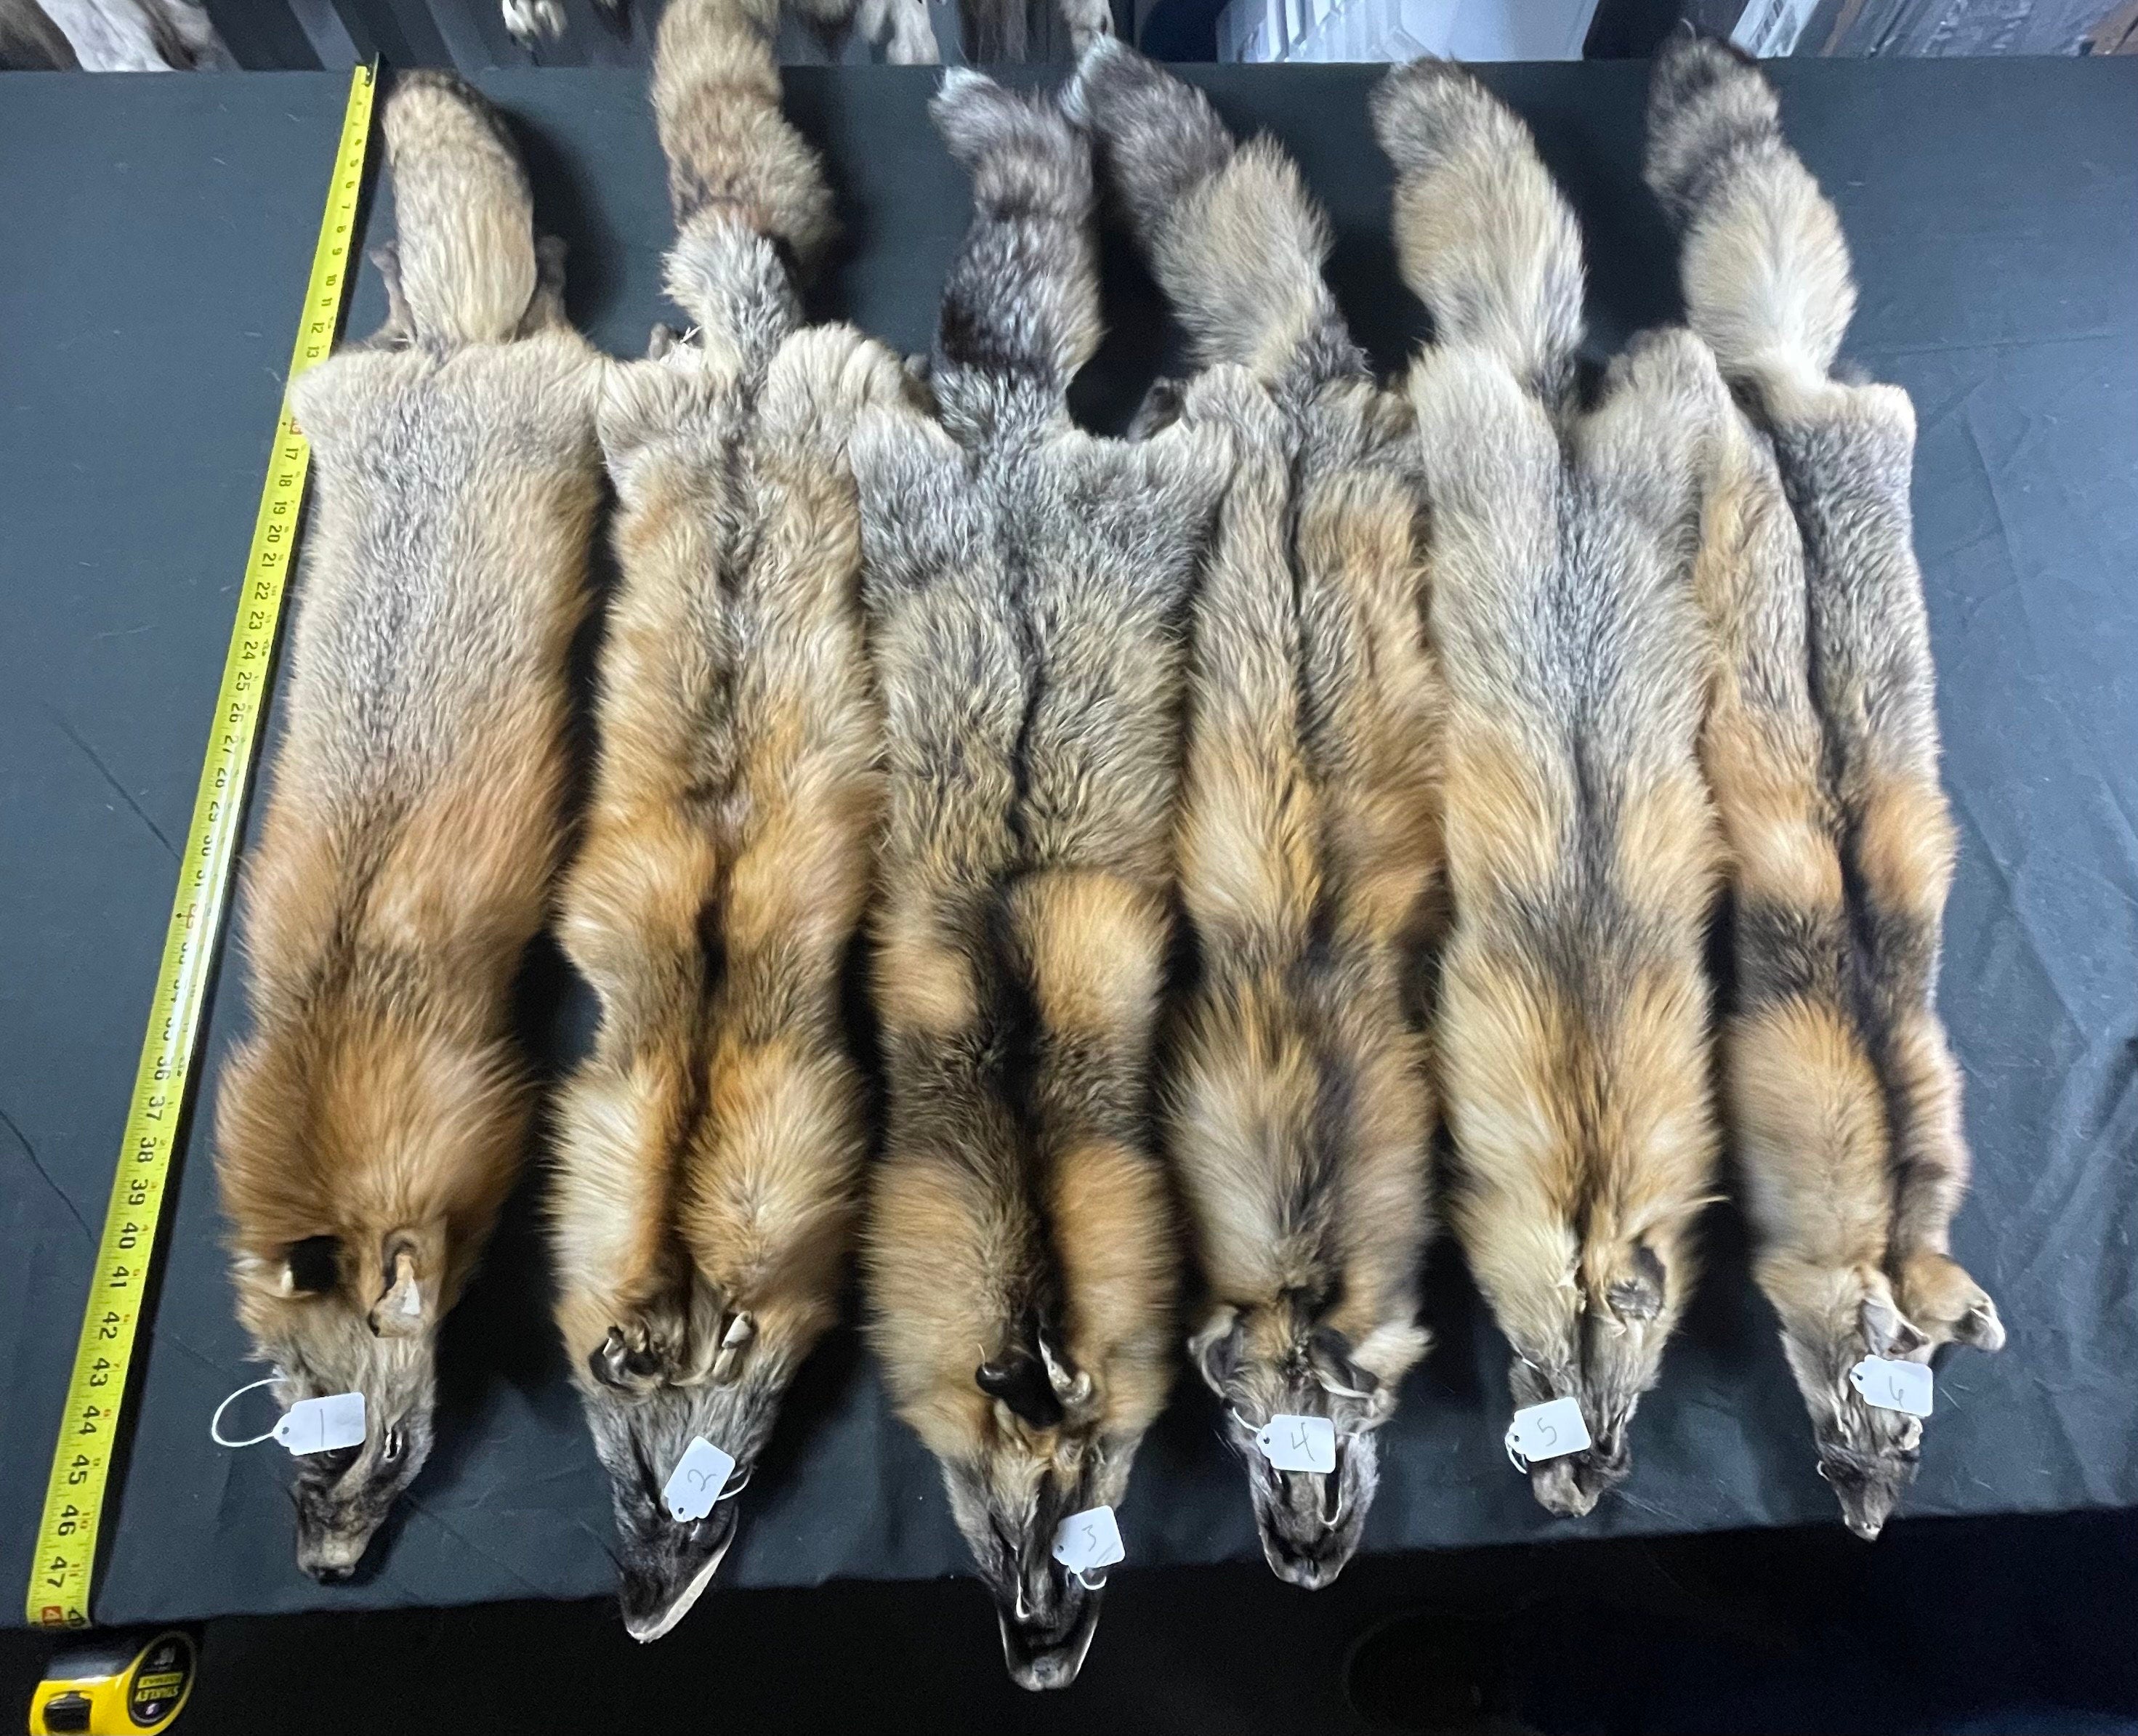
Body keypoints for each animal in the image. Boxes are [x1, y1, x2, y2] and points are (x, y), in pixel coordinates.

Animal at [212, 71, 605, 1582]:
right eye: (286, 1447)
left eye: (382, 1452)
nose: (324, 1572)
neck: (343, 1020)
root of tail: (450, 356)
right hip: (329, 392)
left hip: (568, 394)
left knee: (554, 311)